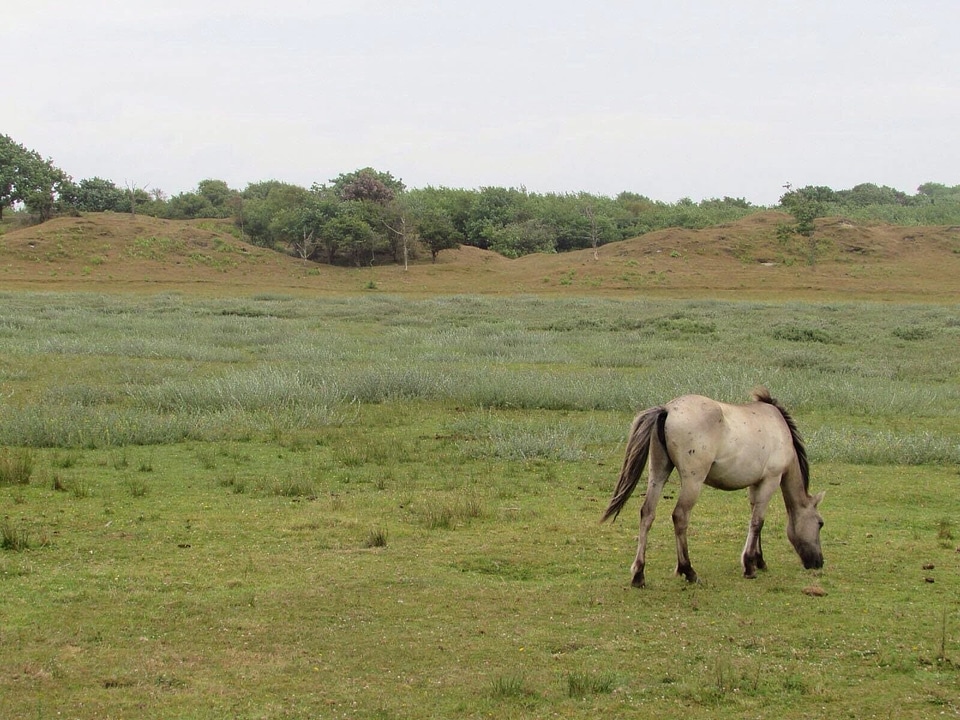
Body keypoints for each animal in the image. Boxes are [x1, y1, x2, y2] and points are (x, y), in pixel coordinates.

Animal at [604, 388, 820, 584]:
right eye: (820, 523)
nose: (818, 563)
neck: (780, 429)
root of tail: (667, 409)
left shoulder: (756, 484)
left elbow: (755, 519)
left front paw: (758, 561)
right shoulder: (771, 480)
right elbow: (758, 522)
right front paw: (750, 566)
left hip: (658, 473)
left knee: (647, 513)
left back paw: (639, 574)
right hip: (693, 481)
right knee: (680, 516)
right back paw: (688, 570)